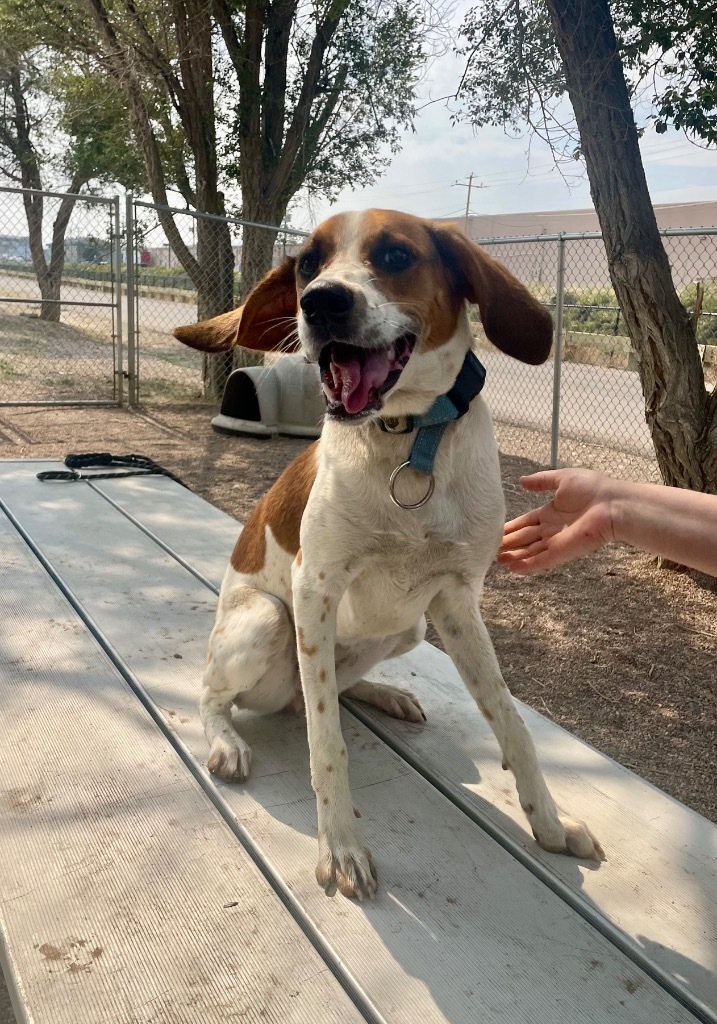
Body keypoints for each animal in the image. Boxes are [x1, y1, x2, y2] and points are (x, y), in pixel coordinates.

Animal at [175, 211, 606, 901]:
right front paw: (342, 847)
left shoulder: (457, 601)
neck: (410, 439)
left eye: (397, 255)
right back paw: (225, 742)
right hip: (269, 620)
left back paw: (384, 694)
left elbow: (511, 722)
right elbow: (327, 743)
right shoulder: (316, 588)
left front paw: (551, 824)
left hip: (411, 629)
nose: (320, 302)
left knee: (324, 690)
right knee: (224, 695)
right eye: (308, 263)